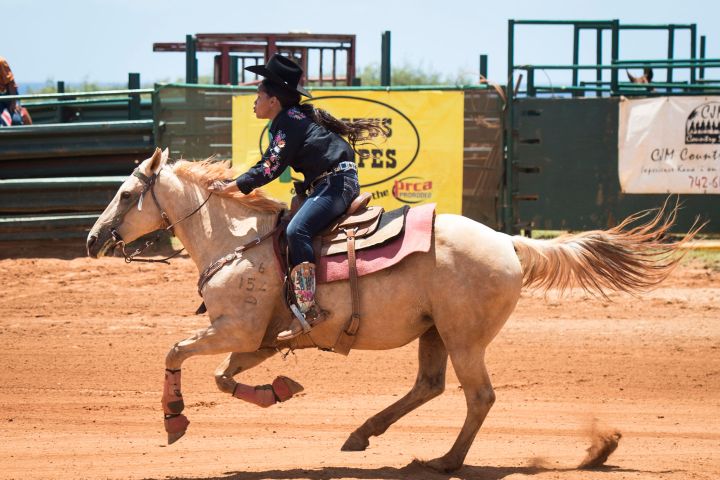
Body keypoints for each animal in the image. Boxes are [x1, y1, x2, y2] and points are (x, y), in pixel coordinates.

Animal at [87, 147, 697, 472]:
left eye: (125, 194)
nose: (93, 240)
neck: (239, 241)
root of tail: (508, 240)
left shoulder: (233, 328)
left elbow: (177, 352)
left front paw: (174, 418)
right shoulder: (253, 340)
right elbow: (223, 376)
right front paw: (278, 390)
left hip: (464, 337)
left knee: (478, 396)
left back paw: (446, 462)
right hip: (434, 333)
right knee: (429, 386)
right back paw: (364, 434)